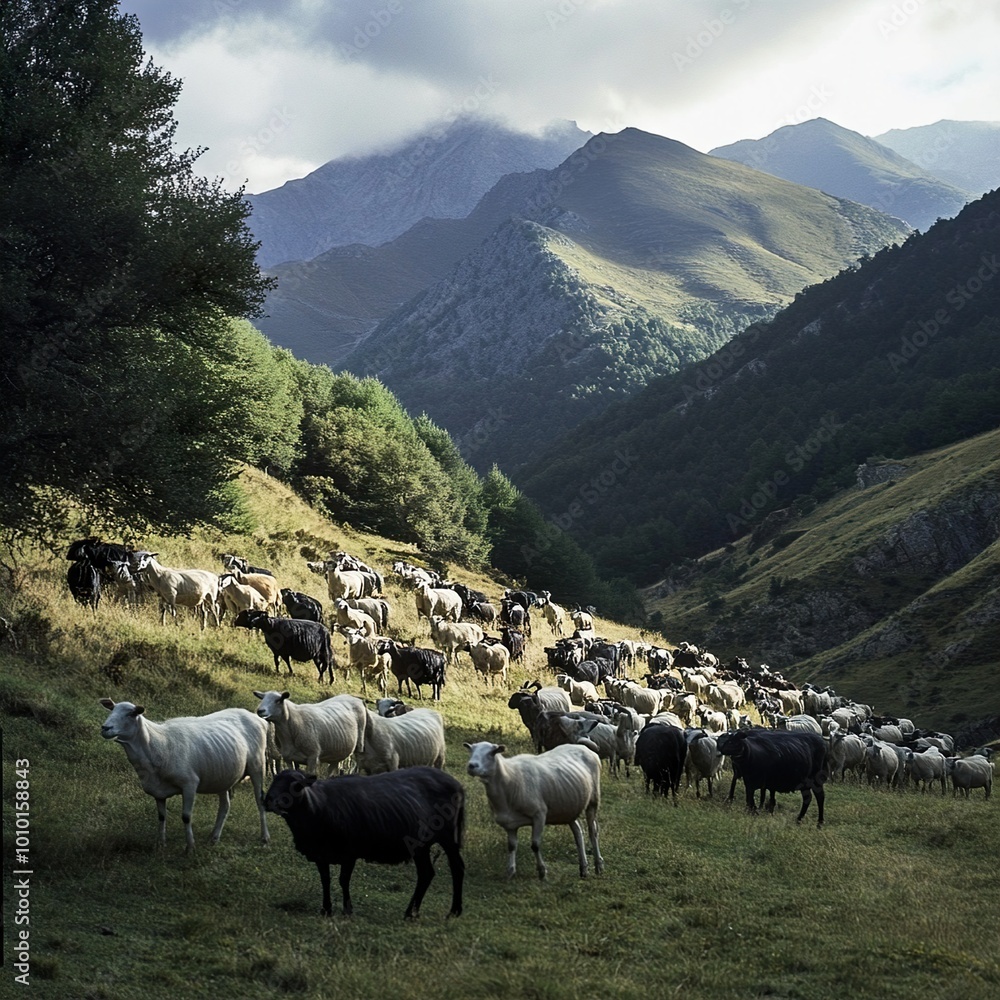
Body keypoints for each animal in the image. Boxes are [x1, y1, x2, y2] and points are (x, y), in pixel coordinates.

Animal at [99, 698, 270, 851]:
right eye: (111, 710)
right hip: (224, 776)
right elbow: (161, 817)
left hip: (257, 766)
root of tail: (255, 717)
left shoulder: (189, 784)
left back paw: (265, 837)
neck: (158, 744)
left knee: (259, 801)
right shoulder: (158, 791)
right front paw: (161, 844)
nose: (105, 728)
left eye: (131, 714)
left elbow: (186, 817)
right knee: (225, 806)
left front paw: (190, 847)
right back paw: (214, 838)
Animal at [264, 767, 464, 919]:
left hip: (448, 837)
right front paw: (326, 910)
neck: (317, 808)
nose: (268, 801)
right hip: (422, 844)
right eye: (274, 781)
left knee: (456, 867)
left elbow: (343, 880)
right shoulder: (321, 853)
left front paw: (347, 910)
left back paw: (453, 911)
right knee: (427, 873)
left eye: (297, 786)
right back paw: (412, 912)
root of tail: (457, 784)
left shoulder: (349, 852)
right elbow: (325, 880)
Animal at [465, 741, 604, 880]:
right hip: (569, 807)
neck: (509, 778)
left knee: (593, 832)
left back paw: (598, 866)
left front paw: (542, 872)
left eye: (492, 753)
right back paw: (583, 868)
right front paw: (510, 871)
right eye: (471, 750)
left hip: (593, 800)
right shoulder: (510, 824)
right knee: (578, 832)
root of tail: (581, 746)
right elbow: (511, 846)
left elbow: (535, 845)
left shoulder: (539, 815)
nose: (471, 766)